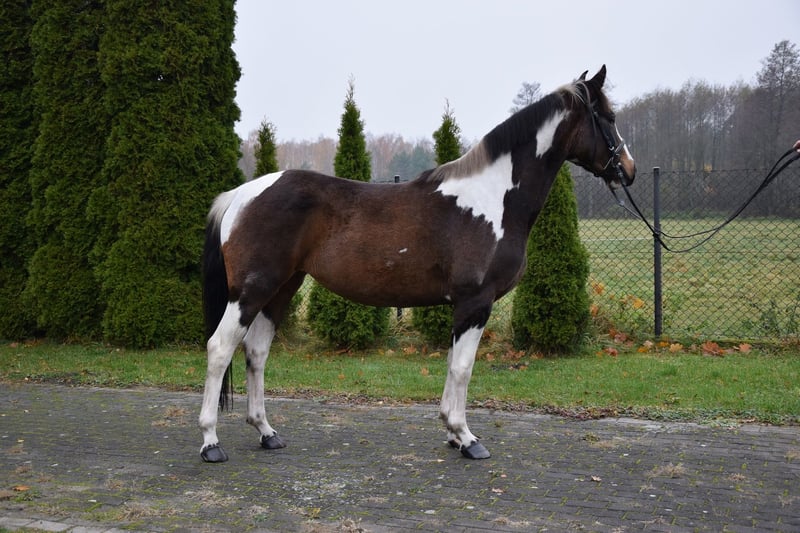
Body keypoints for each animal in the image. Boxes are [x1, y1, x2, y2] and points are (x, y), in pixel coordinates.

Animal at [198, 65, 635, 463]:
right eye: (609, 117)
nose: (628, 170)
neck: (493, 199)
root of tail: (240, 194)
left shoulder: (462, 308)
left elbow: (452, 363)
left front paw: (453, 434)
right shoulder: (476, 303)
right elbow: (463, 367)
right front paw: (467, 438)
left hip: (280, 289)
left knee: (256, 353)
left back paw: (266, 433)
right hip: (251, 292)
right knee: (220, 349)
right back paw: (210, 442)